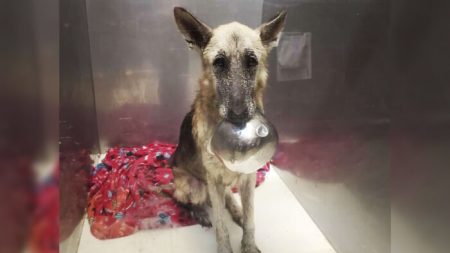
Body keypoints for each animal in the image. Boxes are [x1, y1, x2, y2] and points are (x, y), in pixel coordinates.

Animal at [171, 6, 286, 252]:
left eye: (251, 61)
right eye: (219, 62)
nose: (239, 115)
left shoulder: (249, 177)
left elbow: (251, 219)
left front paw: (248, 244)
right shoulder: (213, 180)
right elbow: (221, 226)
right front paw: (225, 247)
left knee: (228, 199)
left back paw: (236, 211)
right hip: (195, 186)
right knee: (183, 199)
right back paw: (199, 212)